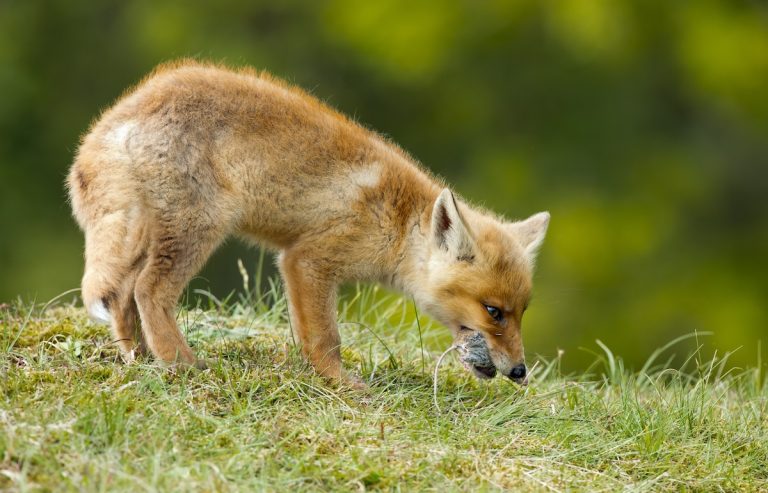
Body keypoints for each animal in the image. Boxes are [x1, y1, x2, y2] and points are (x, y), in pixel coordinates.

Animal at [67, 60, 549, 387]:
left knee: (124, 297)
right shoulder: (308, 260)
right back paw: (179, 363)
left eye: (522, 311)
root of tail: (112, 121)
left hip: (145, 236)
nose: (520, 371)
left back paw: (139, 357)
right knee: (149, 292)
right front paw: (338, 383)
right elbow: (326, 338)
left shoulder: (297, 264)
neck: (397, 223)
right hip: (195, 230)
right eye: (494, 311)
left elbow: (305, 334)